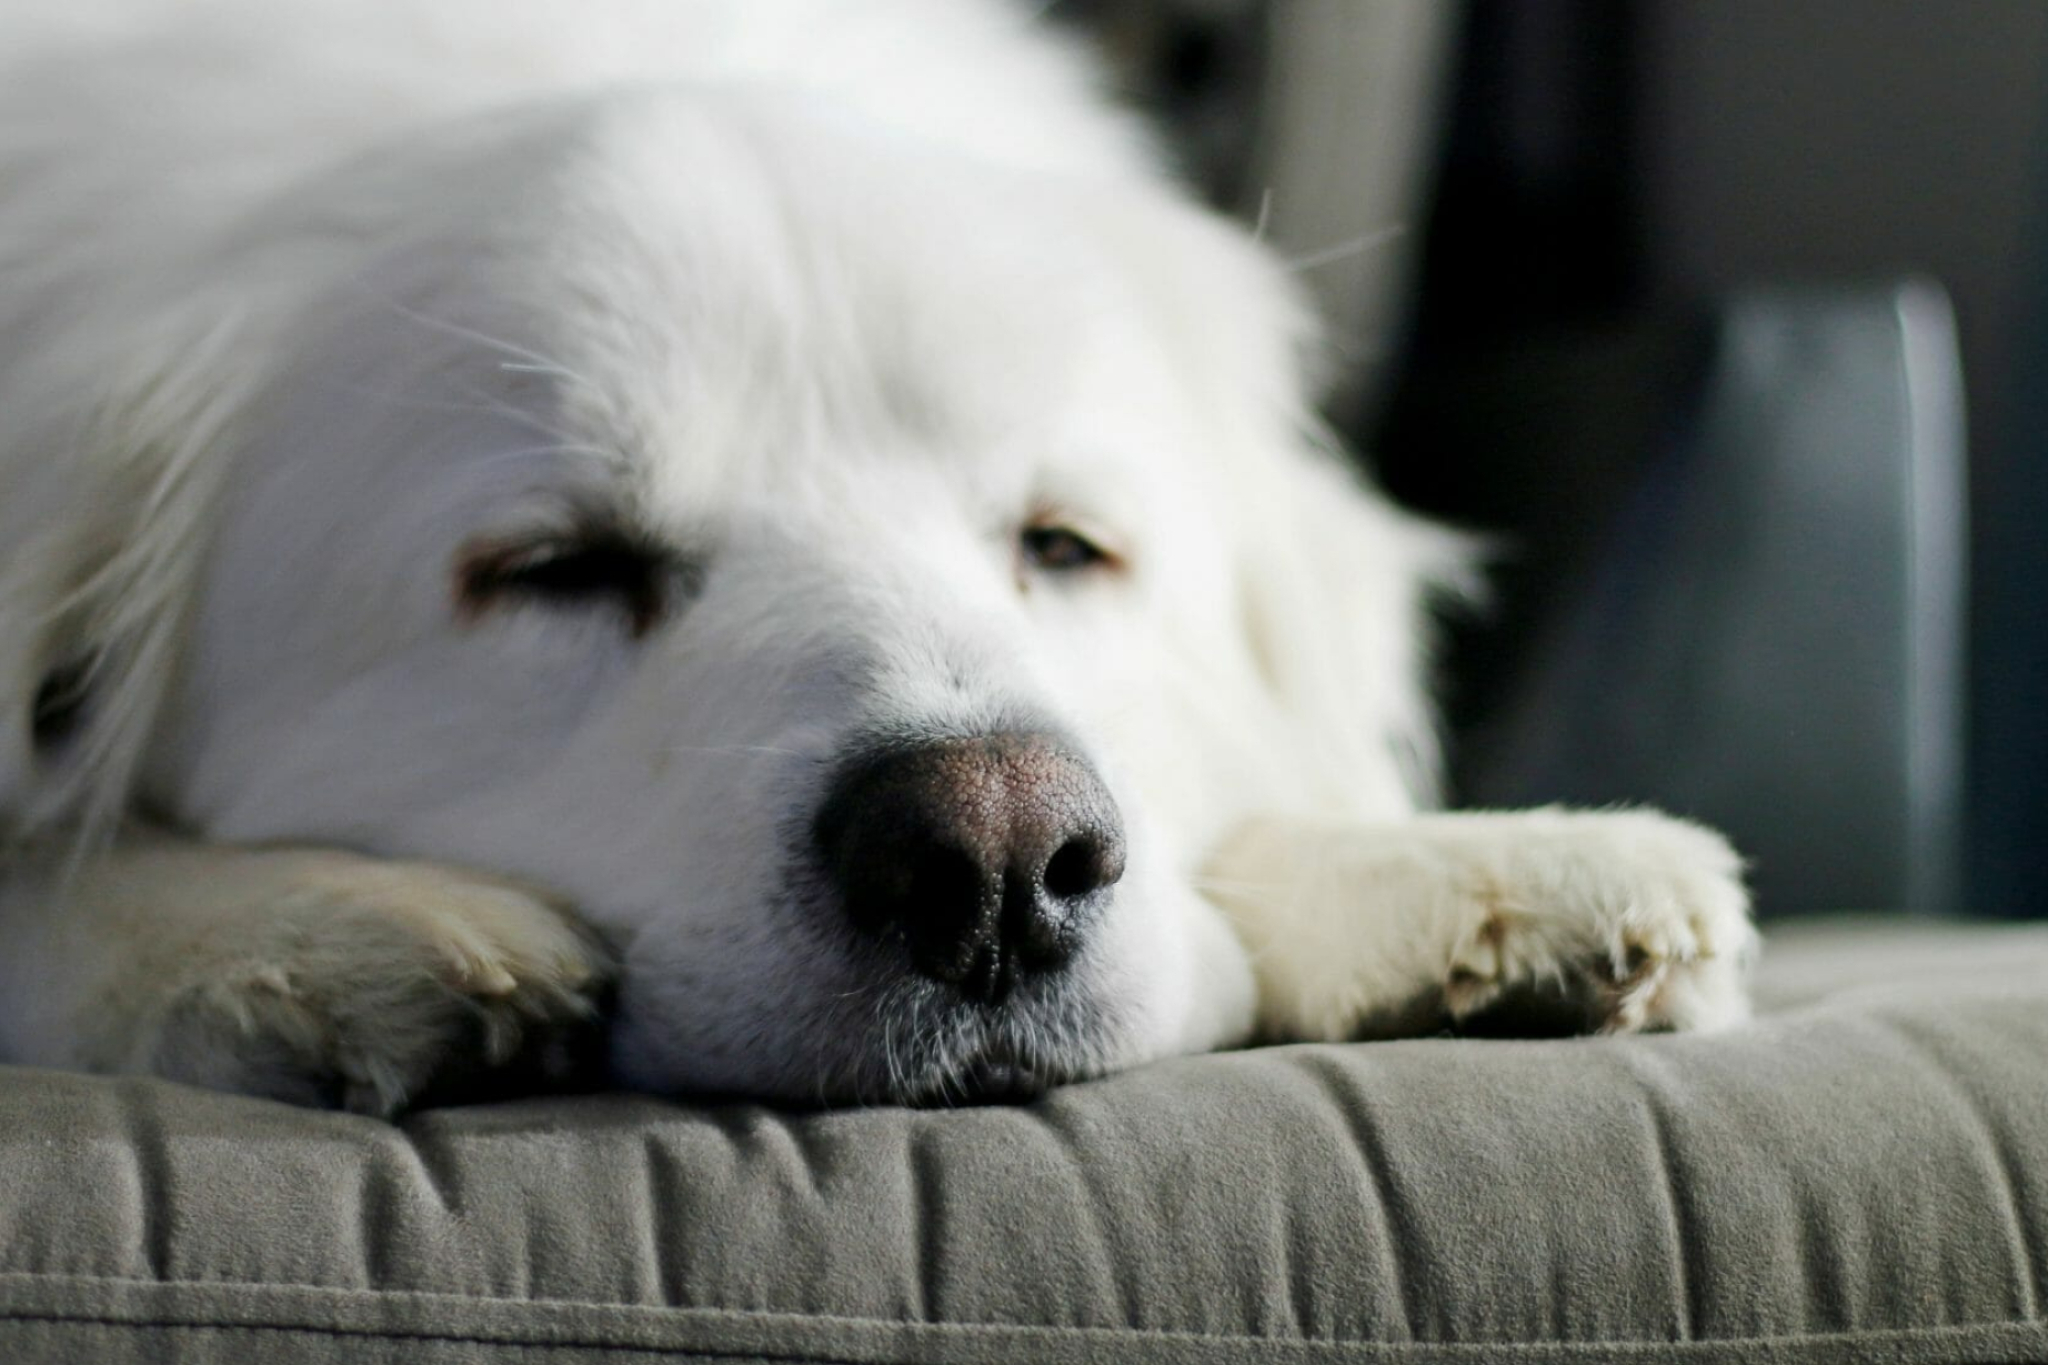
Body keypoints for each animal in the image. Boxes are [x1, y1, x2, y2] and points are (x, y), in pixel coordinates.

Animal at [0, 0, 1761, 1113]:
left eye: (1066, 546)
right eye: (555, 569)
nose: (993, 858)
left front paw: (1463, 876)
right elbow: (42, 874)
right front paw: (285, 926)